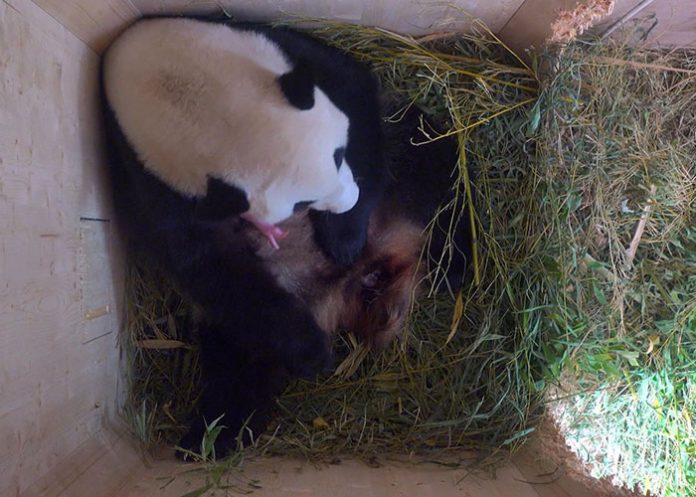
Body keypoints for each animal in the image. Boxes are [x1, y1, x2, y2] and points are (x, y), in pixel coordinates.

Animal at [104, 15, 384, 262]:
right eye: (301, 204)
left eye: (338, 156)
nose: (349, 200)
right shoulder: (151, 175)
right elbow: (190, 245)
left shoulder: (275, 47)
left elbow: (357, 95)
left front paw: (345, 239)